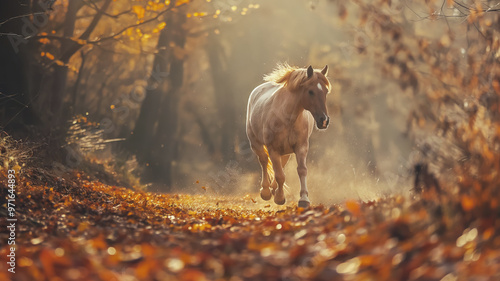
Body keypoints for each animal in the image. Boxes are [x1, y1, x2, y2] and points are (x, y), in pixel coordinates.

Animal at [245, 64, 330, 208]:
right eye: (311, 91)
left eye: (326, 91)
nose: (323, 120)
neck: (289, 118)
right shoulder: (273, 149)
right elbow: (280, 175)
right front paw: (279, 198)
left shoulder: (301, 147)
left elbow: (301, 170)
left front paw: (304, 199)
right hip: (256, 144)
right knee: (264, 161)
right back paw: (266, 191)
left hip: (286, 151)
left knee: (281, 164)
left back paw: (273, 189)